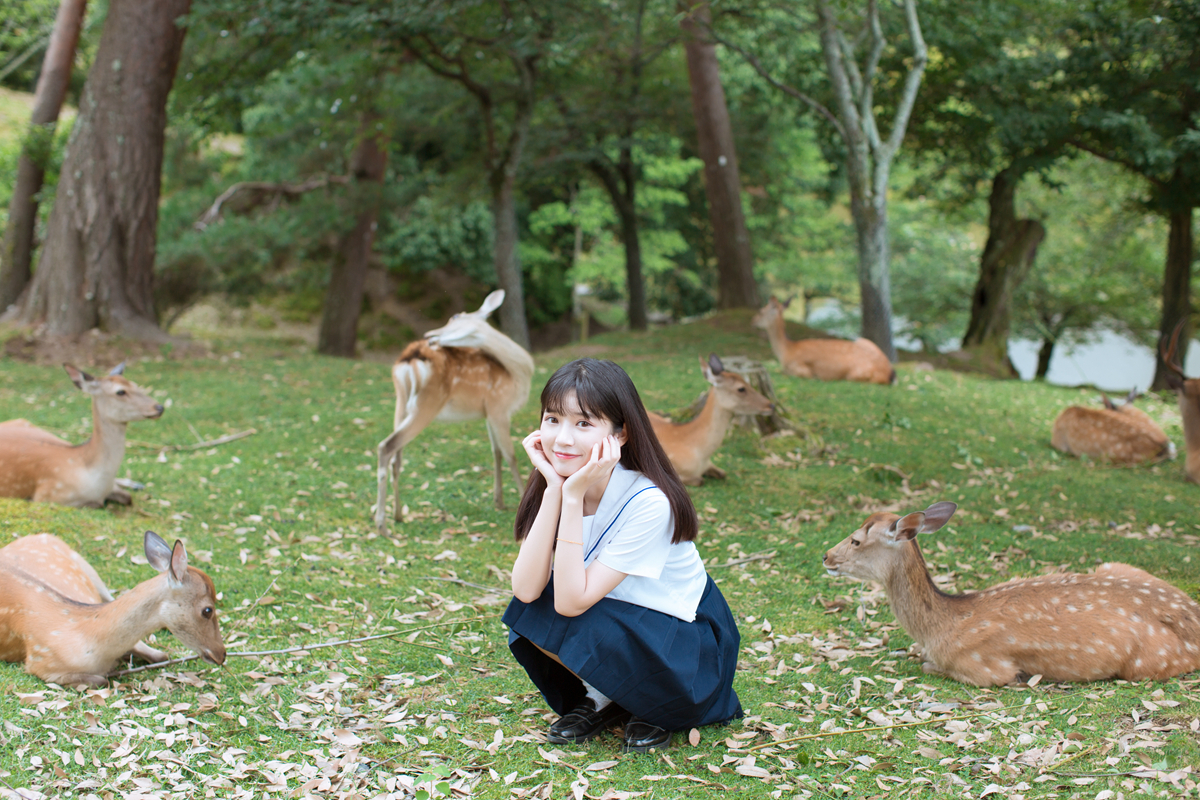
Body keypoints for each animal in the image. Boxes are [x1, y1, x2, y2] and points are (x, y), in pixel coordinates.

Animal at [0, 363, 163, 508]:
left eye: (135, 385)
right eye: (120, 392)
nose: (159, 407)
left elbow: (128, 498)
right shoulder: (47, 495)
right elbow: (98, 504)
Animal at [375, 290, 535, 534]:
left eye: (456, 317)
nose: (429, 334)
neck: (517, 374)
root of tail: (409, 359)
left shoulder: (489, 412)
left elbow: (496, 452)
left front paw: (499, 502)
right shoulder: (499, 406)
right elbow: (511, 455)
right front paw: (520, 501)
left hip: (400, 404)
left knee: (396, 457)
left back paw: (398, 515)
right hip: (427, 403)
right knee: (386, 446)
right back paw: (382, 525)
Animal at [752, 297, 895, 385]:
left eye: (761, 311)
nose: (753, 321)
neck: (787, 351)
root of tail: (889, 372)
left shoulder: (801, 369)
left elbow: (779, 371)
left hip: (856, 374)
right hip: (863, 340)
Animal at [823, 501, 1200, 686]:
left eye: (856, 540)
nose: (826, 556)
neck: (943, 625)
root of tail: (1193, 615)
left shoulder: (985, 667)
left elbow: (933, 666)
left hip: (1148, 663)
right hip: (1115, 565)